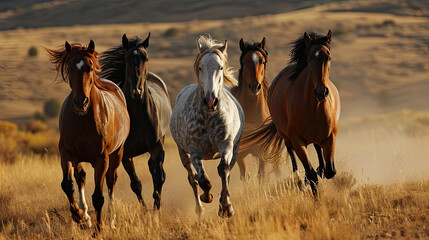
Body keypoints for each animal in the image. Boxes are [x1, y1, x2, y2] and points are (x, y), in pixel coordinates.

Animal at [45, 40, 129, 235]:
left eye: (90, 68)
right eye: (69, 68)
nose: (81, 102)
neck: (83, 120)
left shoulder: (101, 159)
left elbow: (98, 196)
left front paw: (99, 229)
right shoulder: (67, 154)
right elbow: (67, 185)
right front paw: (80, 217)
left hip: (117, 154)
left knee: (111, 182)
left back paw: (111, 220)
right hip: (78, 159)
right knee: (81, 177)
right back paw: (86, 216)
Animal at [99, 32, 171, 209]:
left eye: (146, 58)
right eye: (126, 58)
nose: (136, 92)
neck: (138, 117)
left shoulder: (157, 147)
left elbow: (159, 177)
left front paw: (156, 208)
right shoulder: (125, 155)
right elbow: (136, 184)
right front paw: (145, 210)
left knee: (154, 169)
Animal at [171, 35, 244, 218]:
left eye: (220, 67)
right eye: (201, 67)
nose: (211, 101)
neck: (209, 117)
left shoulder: (227, 145)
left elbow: (223, 170)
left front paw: (226, 207)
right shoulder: (195, 150)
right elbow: (203, 180)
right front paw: (207, 196)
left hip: (235, 150)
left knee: (227, 173)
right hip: (182, 153)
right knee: (192, 178)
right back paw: (199, 209)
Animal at [231, 37, 268, 180]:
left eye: (262, 61)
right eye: (244, 62)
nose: (254, 87)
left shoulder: (263, 151)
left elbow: (261, 176)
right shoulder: (240, 155)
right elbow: (245, 176)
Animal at [242, 30, 340, 196]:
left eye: (329, 57)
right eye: (309, 58)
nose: (321, 92)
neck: (314, 107)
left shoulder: (330, 137)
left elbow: (330, 171)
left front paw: (320, 171)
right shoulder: (297, 141)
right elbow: (311, 174)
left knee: (318, 152)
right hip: (286, 137)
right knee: (294, 159)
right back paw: (300, 181)